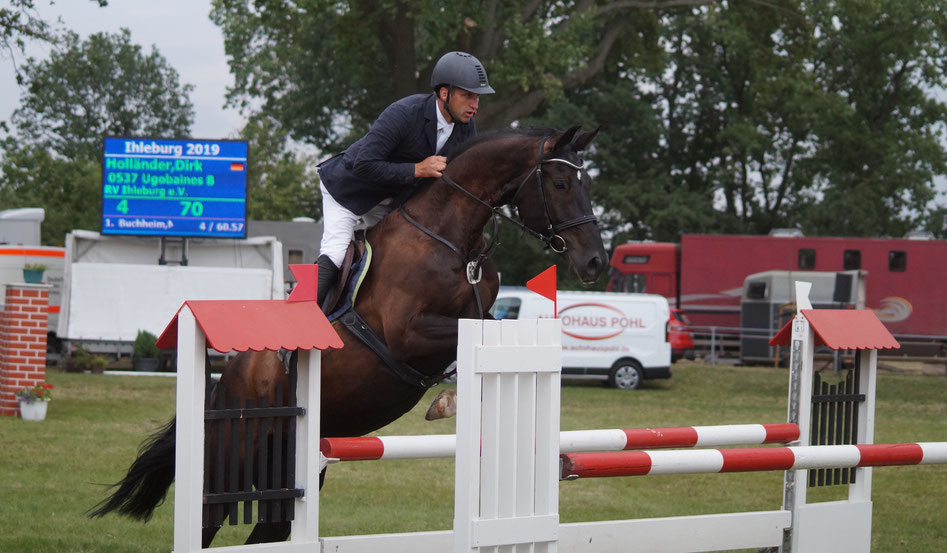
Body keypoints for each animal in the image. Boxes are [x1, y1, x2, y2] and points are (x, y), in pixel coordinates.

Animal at [89, 124, 608, 544]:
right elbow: (479, 332)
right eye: (561, 183)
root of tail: (221, 386)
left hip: (290, 468)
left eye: (588, 184)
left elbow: (492, 329)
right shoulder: (407, 335)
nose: (595, 263)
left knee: (270, 531)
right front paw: (448, 401)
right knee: (207, 522)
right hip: (228, 460)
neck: (454, 240)